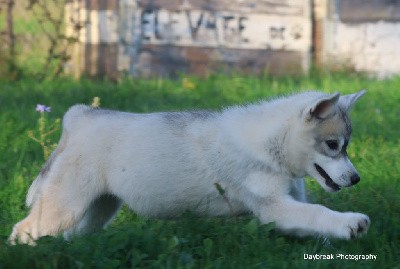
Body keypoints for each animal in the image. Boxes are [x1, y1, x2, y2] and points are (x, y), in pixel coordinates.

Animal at [9, 90, 370, 243]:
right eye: (333, 145)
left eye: (346, 146)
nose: (355, 179)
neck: (272, 144)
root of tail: (82, 116)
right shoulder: (274, 207)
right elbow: (319, 212)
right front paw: (350, 222)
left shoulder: (288, 208)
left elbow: (310, 219)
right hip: (64, 206)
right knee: (23, 231)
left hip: (99, 208)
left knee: (74, 235)